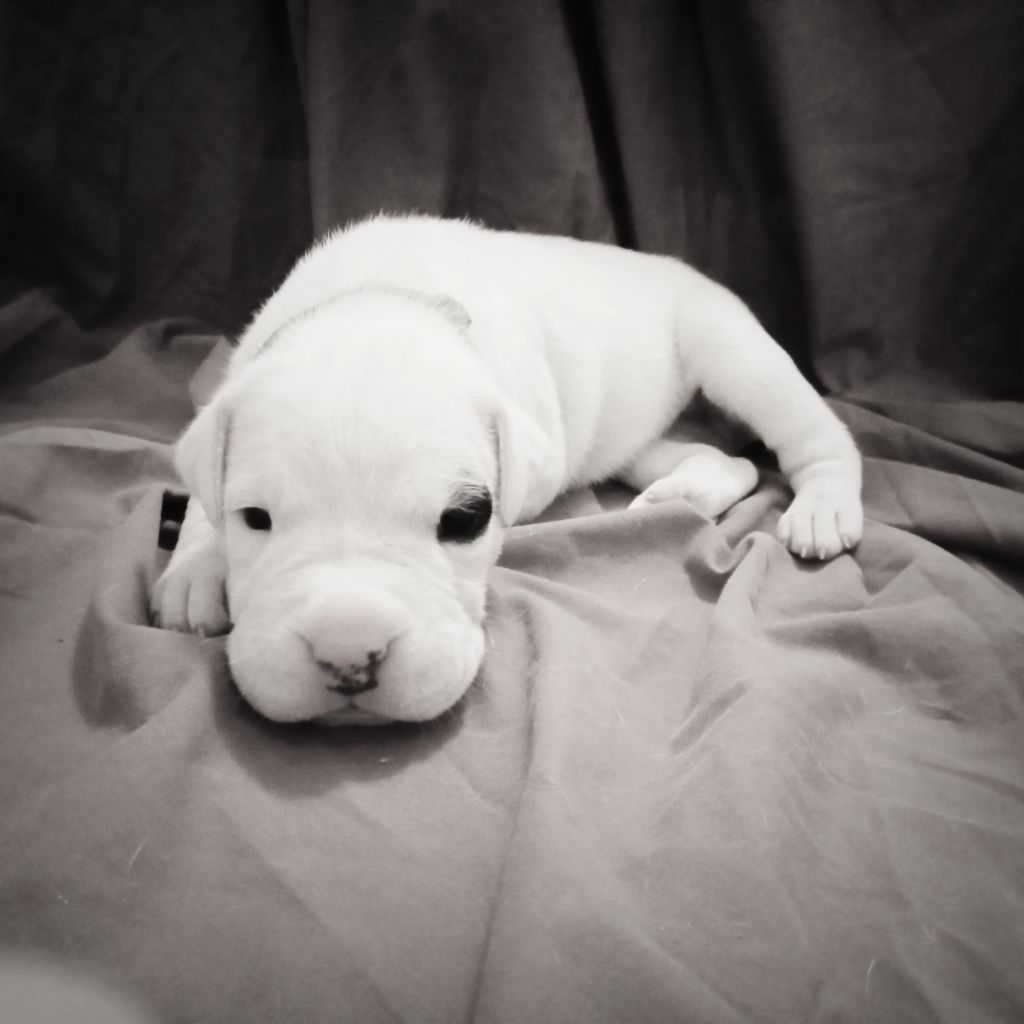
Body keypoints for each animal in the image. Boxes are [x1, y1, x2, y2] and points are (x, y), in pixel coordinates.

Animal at [151, 215, 862, 725]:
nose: (349, 653)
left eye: (465, 521)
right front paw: (194, 569)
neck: (380, 303)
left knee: (814, 438)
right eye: (255, 519)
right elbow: (201, 499)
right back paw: (679, 493)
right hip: (643, 440)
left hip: (730, 346)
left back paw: (823, 505)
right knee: (729, 463)